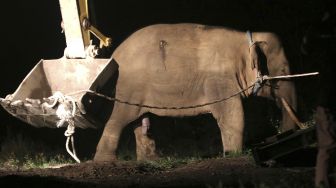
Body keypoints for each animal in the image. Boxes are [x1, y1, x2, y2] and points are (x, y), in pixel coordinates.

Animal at [92, 23, 296, 162]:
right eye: (283, 70)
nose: (283, 134)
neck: (244, 39)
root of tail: (114, 55)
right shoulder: (219, 80)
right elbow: (232, 114)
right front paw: (233, 154)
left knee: (140, 121)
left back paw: (151, 160)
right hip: (128, 87)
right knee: (119, 119)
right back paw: (105, 161)